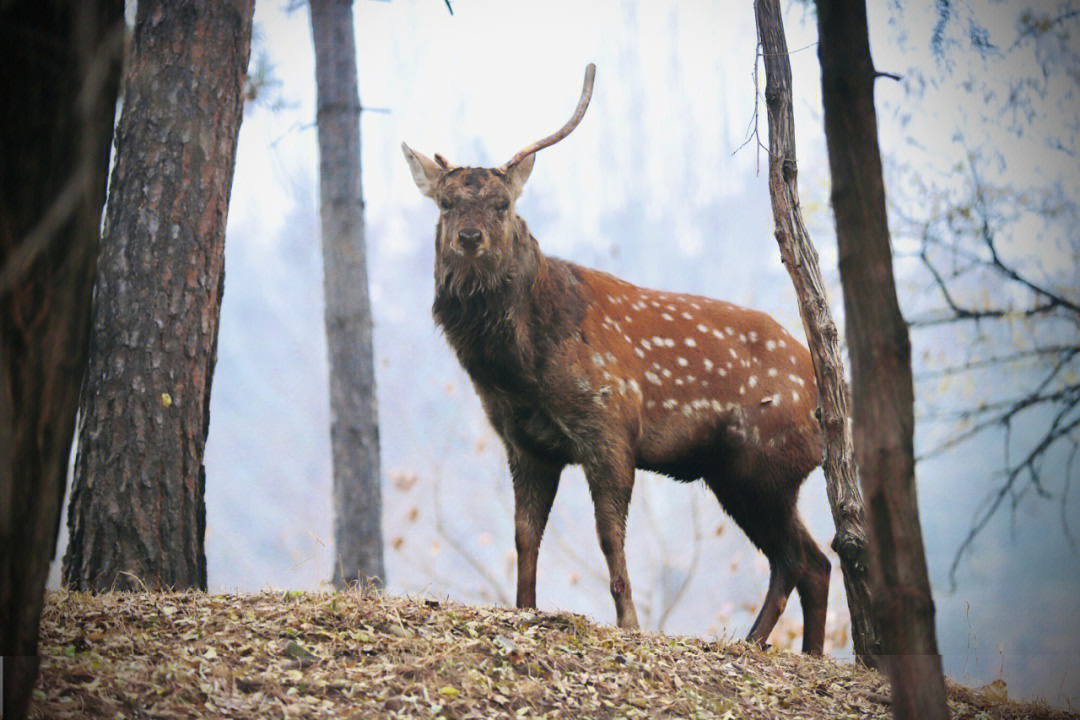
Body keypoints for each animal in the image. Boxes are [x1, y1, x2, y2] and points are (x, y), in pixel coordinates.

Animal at [401, 66, 829, 651]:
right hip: (739, 473)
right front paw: (524, 608)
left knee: (800, 559)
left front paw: (628, 623)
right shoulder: (524, 442)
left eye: (502, 205)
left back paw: (772, 646)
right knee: (810, 559)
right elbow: (524, 534)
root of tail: (825, 399)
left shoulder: (610, 422)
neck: (521, 372)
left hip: (766, 464)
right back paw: (784, 649)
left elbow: (608, 535)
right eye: (445, 203)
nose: (469, 237)